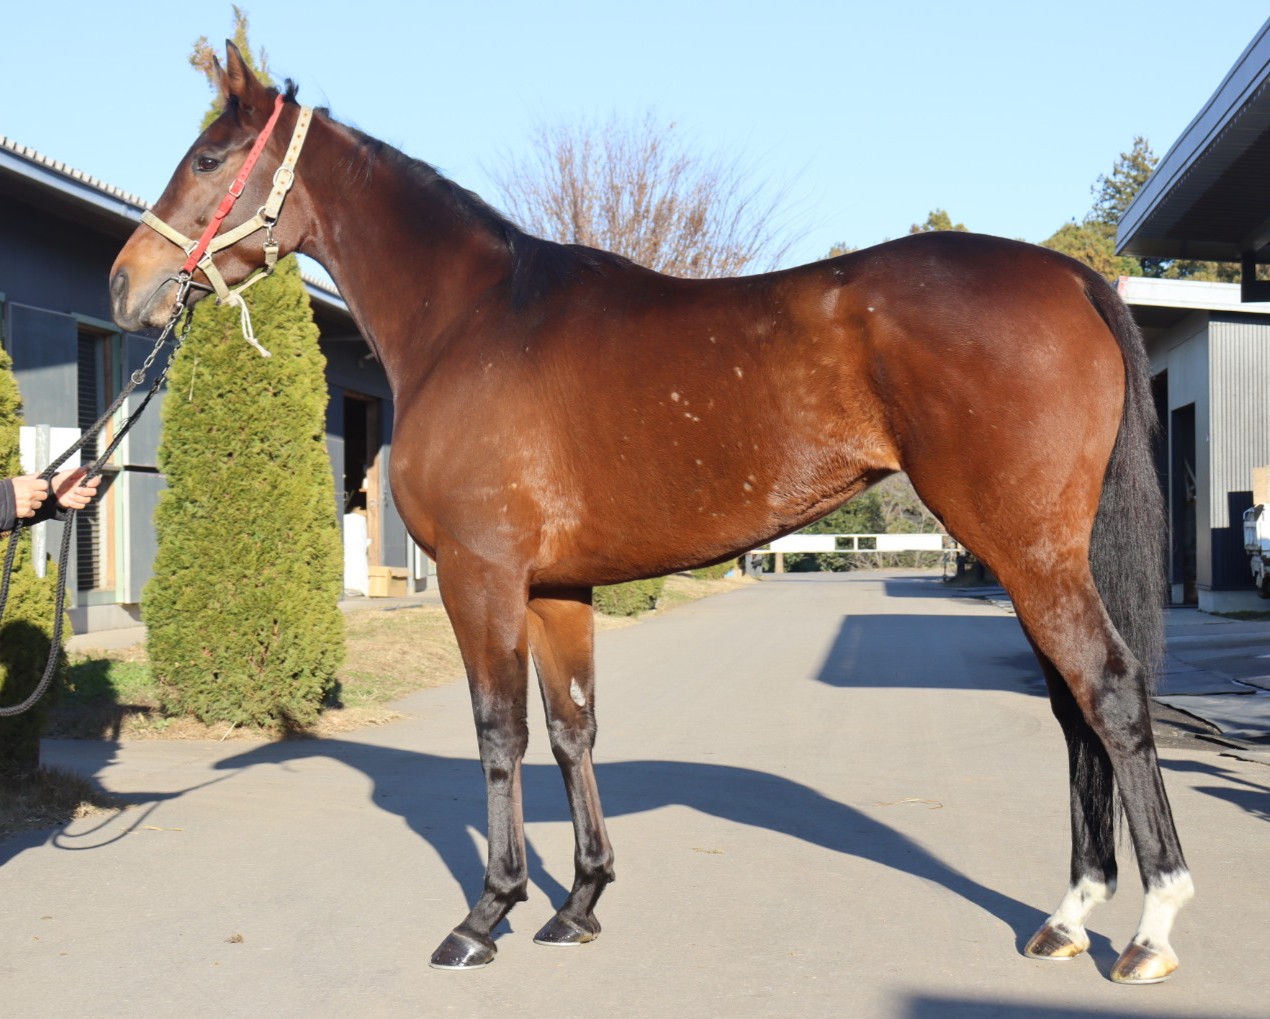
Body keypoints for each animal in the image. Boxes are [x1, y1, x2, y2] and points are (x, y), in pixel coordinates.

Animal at [110, 43, 1191, 983]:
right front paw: (579, 900)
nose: (127, 284)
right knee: (1072, 707)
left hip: (1025, 550)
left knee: (1108, 691)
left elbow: (498, 732)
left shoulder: (480, 575)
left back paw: (1148, 926)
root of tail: (1071, 277)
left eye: (208, 158)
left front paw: (486, 911)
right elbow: (571, 727)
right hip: (1037, 554)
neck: (472, 319)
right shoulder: (555, 586)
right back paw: (1067, 917)